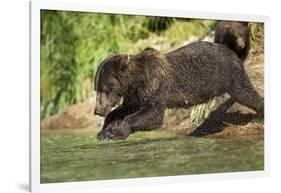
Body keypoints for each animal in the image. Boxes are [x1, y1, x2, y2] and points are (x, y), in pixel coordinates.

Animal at [94, 41, 262, 140]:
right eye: (96, 89)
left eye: (103, 89)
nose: (97, 110)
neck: (135, 81)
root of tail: (231, 51)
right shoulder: (135, 95)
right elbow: (124, 109)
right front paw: (104, 131)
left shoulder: (155, 86)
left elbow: (153, 114)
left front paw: (117, 132)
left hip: (228, 75)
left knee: (245, 93)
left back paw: (259, 115)